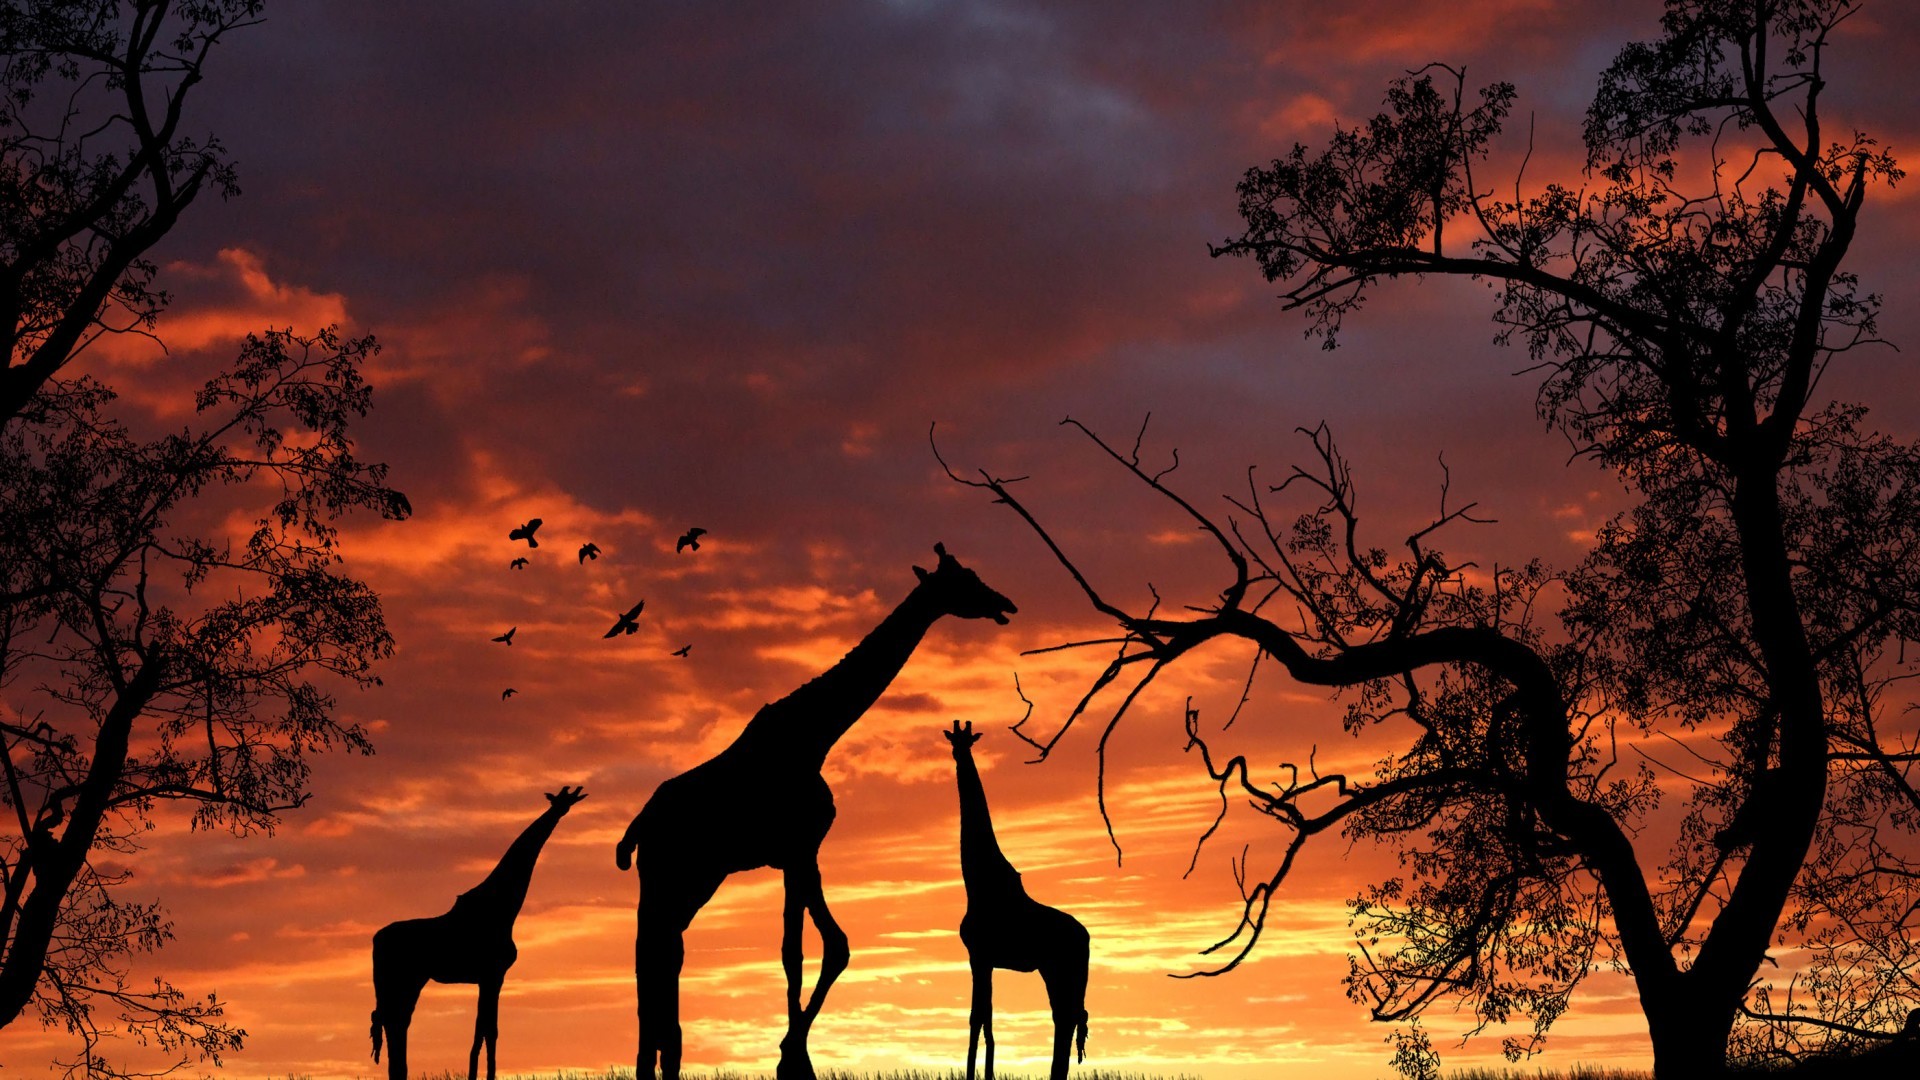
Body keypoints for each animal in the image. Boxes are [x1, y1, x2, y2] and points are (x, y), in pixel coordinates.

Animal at [370, 786, 586, 1080]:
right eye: (560, 802)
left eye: (567, 801)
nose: (562, 810)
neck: (504, 905)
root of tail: (375, 940)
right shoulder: (494, 973)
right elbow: (489, 1031)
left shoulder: (488, 977)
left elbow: (481, 1030)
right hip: (403, 978)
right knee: (394, 1022)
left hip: (408, 980)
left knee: (397, 1023)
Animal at [614, 543, 1016, 1080]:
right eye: (965, 579)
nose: (1005, 603)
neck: (815, 737)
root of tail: (638, 826)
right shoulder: (801, 849)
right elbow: (830, 946)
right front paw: (792, 1059)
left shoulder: (797, 856)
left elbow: (797, 950)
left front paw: (793, 1056)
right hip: (669, 875)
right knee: (652, 953)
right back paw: (655, 1061)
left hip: (691, 881)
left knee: (663, 951)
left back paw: (663, 1060)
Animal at [944, 720, 1089, 1080]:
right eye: (953, 741)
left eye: (968, 742)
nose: (958, 756)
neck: (979, 883)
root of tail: (1087, 938)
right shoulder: (985, 959)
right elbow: (987, 1017)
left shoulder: (978, 954)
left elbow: (977, 1017)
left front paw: (976, 1075)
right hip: (1058, 970)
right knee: (1066, 1017)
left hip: (1060, 967)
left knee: (1066, 1017)